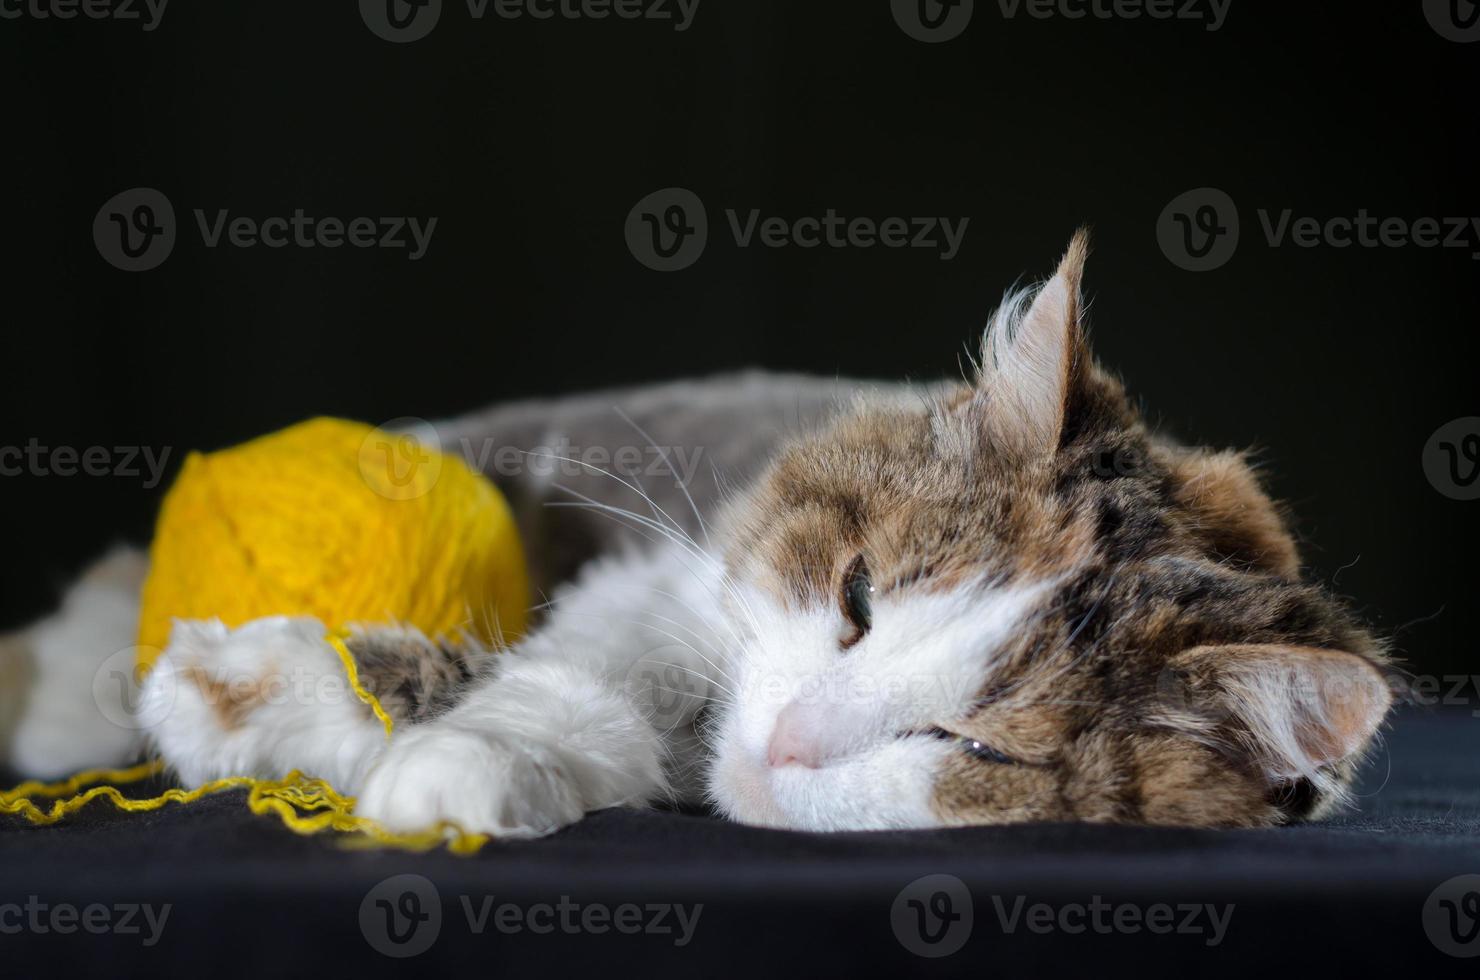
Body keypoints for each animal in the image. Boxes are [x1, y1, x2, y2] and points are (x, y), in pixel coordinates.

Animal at [0, 236, 1391, 834]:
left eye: (972, 745)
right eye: (857, 599)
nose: (786, 742)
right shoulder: (667, 581)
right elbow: (564, 682)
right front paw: (261, 695)